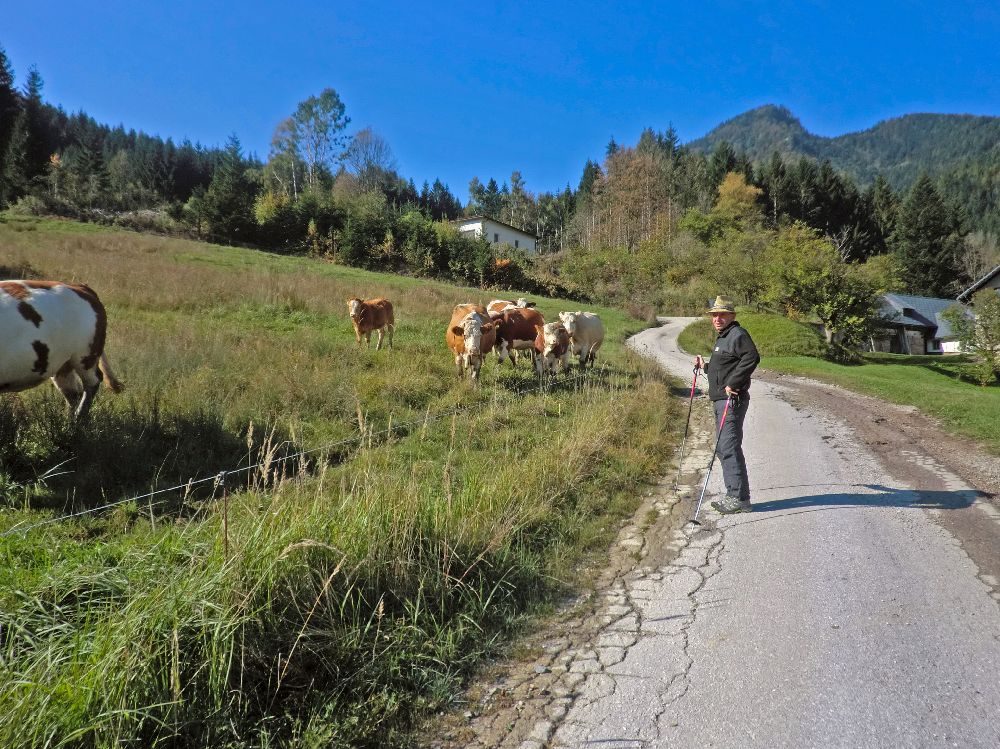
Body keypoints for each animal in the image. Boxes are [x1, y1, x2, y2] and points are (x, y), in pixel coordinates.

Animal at [0, 280, 125, 418]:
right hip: (62, 362)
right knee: (72, 392)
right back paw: (68, 420)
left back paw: (79, 418)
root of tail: (79, 286)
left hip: (86, 354)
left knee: (92, 383)